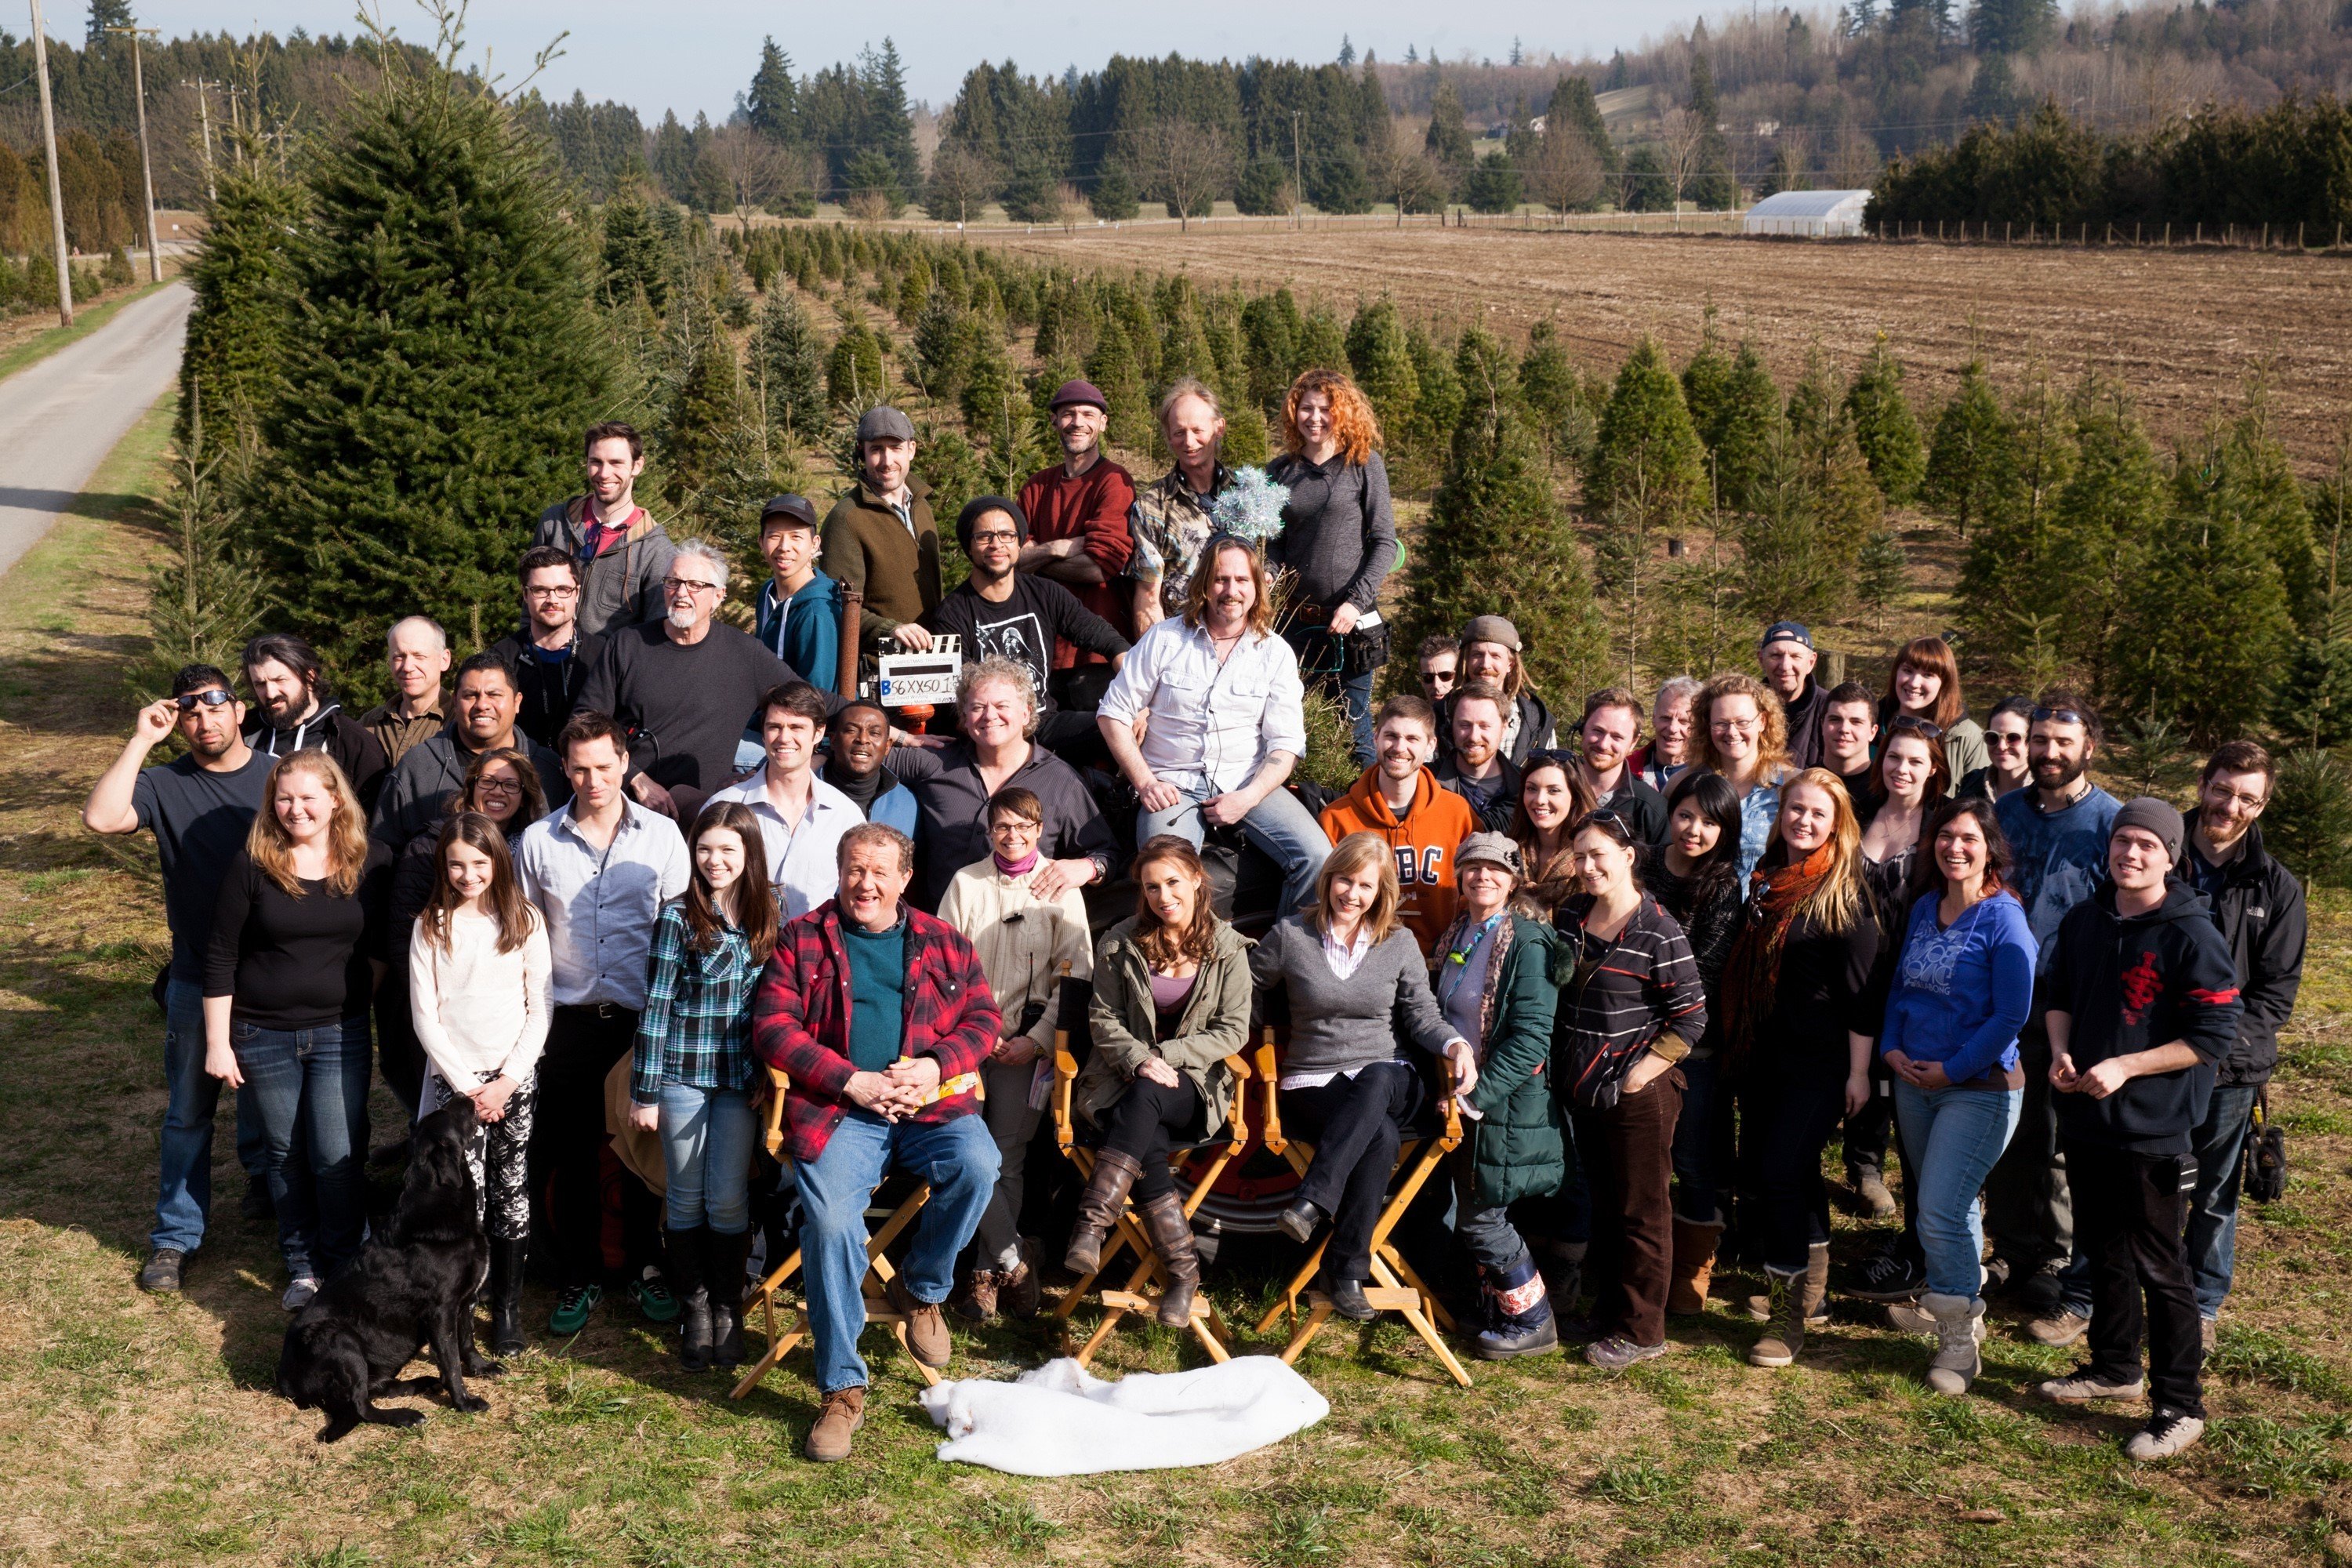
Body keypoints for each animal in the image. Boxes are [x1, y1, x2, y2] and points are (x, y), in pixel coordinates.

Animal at [273, 1091, 499, 1448]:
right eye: (448, 1111)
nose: (465, 1094)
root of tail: (286, 1383)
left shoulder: (465, 1301)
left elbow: (467, 1343)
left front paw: (482, 1368)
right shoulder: (441, 1312)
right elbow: (451, 1363)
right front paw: (464, 1402)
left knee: (376, 1389)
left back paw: (421, 1383)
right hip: (340, 1341)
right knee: (361, 1407)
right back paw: (407, 1415)